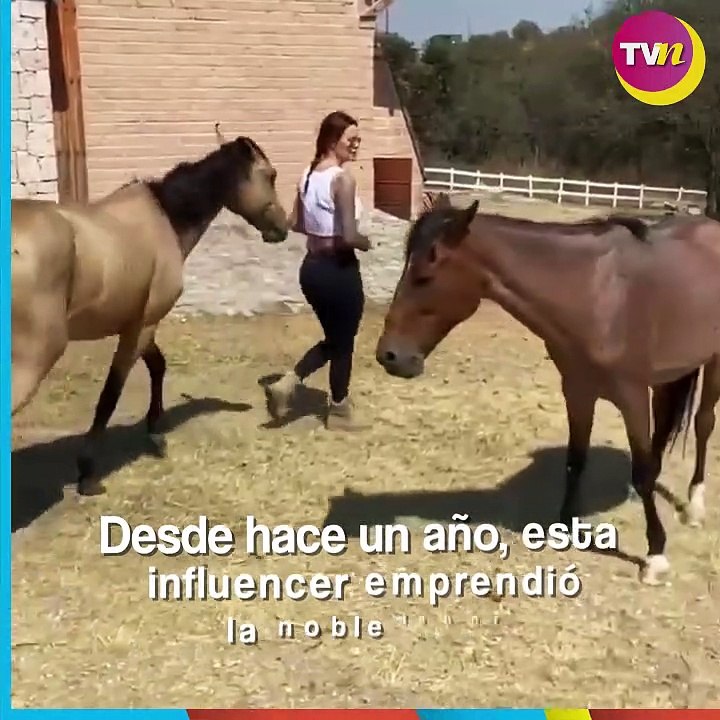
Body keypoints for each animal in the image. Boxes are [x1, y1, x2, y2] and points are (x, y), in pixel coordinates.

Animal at [11, 125, 289, 496]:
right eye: (270, 175)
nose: (282, 228)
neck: (165, 218)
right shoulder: (143, 325)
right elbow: (111, 394)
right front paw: (88, 472)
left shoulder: (138, 321)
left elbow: (157, 366)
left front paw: (155, 430)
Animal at [375, 192, 720, 586]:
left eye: (424, 277)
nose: (389, 356)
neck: (598, 295)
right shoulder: (577, 390)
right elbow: (576, 461)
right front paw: (564, 526)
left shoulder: (631, 396)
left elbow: (643, 472)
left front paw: (655, 555)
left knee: (703, 424)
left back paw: (694, 506)